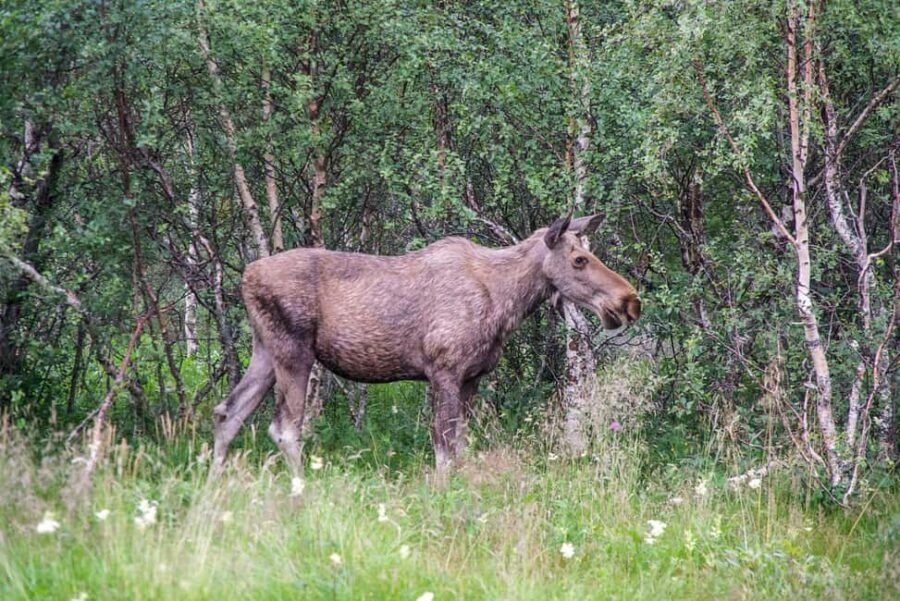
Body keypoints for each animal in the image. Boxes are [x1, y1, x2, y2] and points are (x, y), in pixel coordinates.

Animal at [211, 214, 641, 475]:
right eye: (579, 259)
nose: (629, 301)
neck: (506, 303)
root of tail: (246, 276)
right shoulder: (444, 370)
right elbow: (444, 451)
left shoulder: (472, 378)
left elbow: (461, 447)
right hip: (293, 350)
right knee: (283, 427)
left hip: (265, 349)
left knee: (227, 412)